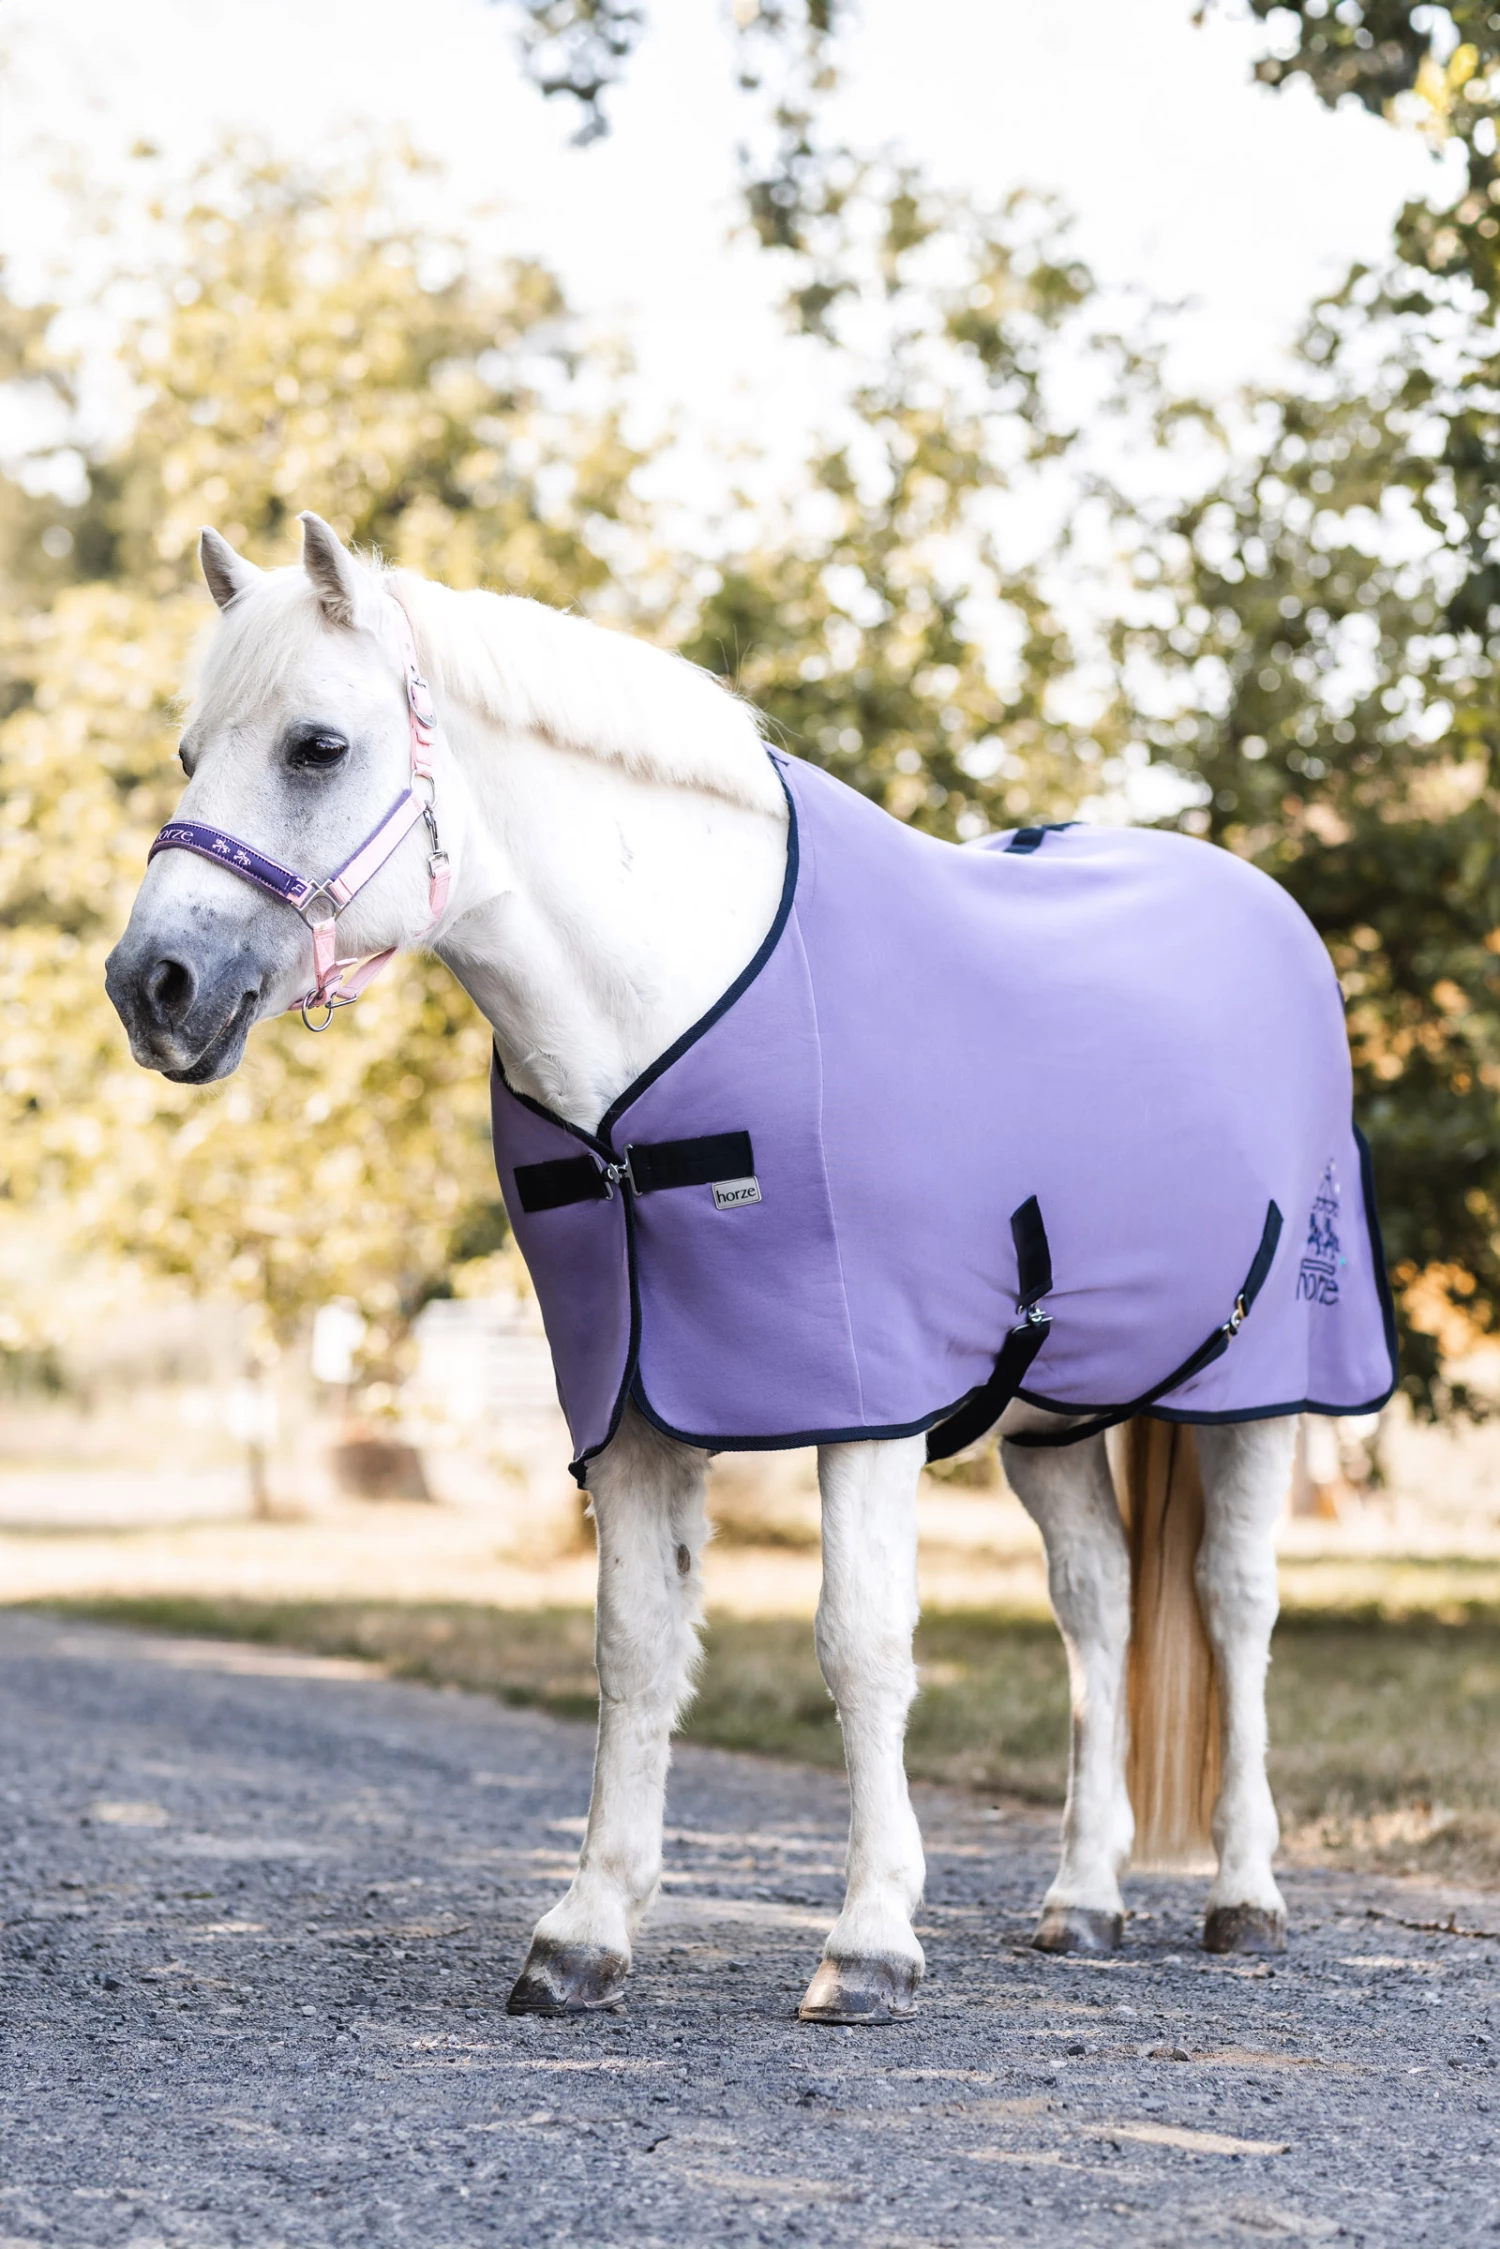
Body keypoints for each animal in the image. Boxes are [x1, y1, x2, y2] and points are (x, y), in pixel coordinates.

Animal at [105, 514, 1395, 2024]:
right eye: (191, 752)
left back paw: (1247, 1898)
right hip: (1051, 1421)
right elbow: (634, 1645)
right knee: (1100, 1609)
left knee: (1234, 1605)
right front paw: (585, 1931)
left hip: (1261, 1395)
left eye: (317, 745)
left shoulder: (867, 1402)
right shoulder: (632, 1404)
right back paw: (1082, 1901)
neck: (662, 1030)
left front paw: (870, 1940)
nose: (153, 985)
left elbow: (862, 1642)